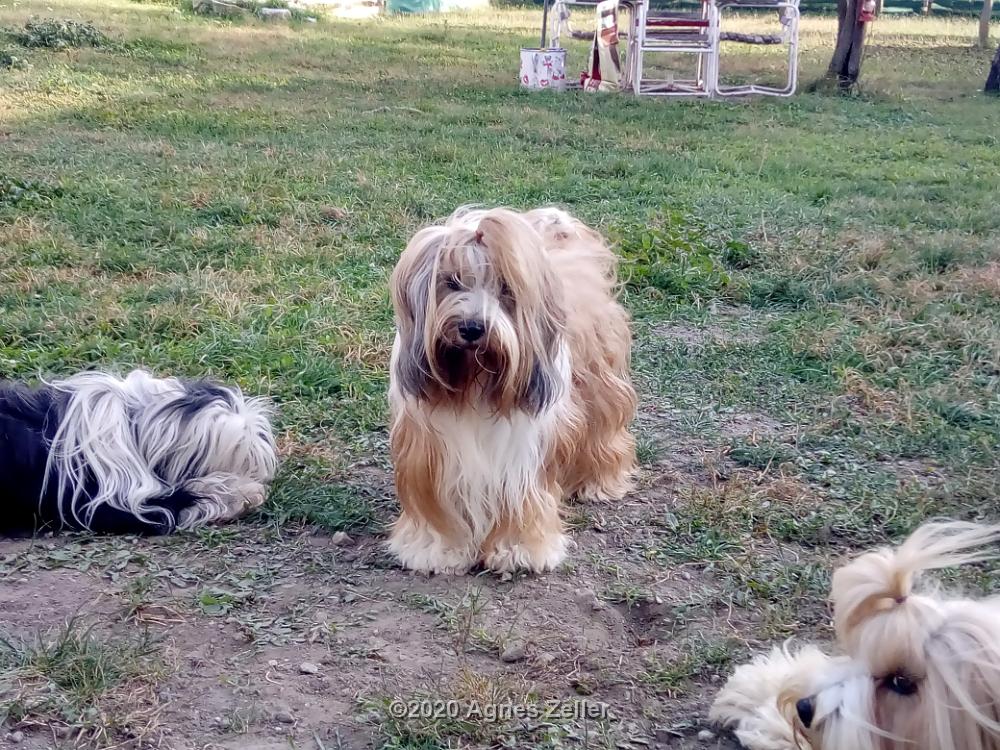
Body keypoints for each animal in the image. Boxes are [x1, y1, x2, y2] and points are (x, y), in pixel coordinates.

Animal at [0, 370, 278, 536]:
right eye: (245, 461)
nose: (262, 478)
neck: (132, 426)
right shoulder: (114, 506)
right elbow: (192, 497)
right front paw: (242, 493)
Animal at [386, 206, 636, 576]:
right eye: (452, 282)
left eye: (505, 288)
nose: (472, 327)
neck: (474, 382)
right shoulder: (428, 448)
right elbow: (436, 502)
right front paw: (437, 549)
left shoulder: (523, 452)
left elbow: (521, 500)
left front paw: (518, 549)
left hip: (601, 383)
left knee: (605, 430)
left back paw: (599, 482)